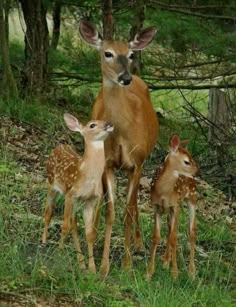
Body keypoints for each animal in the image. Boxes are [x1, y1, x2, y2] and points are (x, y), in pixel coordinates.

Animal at [79, 18, 159, 276]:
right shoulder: (109, 164)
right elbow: (111, 211)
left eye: (131, 54)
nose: (125, 78)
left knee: (133, 204)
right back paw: (93, 231)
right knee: (103, 200)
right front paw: (103, 266)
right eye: (108, 53)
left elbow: (126, 211)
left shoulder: (137, 162)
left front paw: (126, 263)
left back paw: (138, 243)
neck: (124, 132)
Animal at [148, 134, 197, 280]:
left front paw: (174, 274)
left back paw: (191, 271)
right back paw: (165, 262)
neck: (164, 192)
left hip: (191, 197)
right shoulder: (156, 206)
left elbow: (174, 237)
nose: (196, 171)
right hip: (169, 209)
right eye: (187, 161)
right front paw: (149, 273)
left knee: (191, 231)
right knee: (169, 229)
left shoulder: (176, 205)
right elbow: (156, 237)